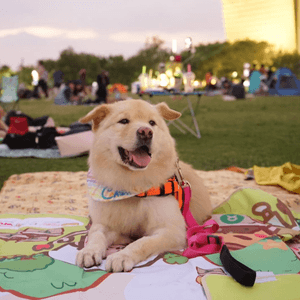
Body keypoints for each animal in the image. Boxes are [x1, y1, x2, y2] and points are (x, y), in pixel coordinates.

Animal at [75, 99, 211, 272]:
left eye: (152, 123)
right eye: (124, 121)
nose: (146, 132)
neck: (133, 186)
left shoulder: (172, 230)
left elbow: (142, 242)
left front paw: (122, 256)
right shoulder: (107, 225)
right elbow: (95, 234)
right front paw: (89, 251)